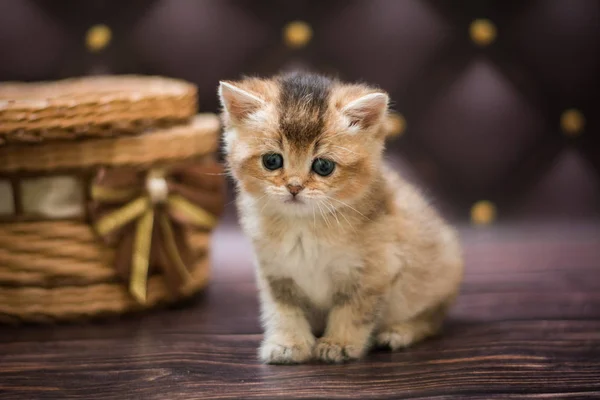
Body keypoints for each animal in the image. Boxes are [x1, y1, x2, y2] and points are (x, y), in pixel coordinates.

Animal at [218, 70, 462, 364]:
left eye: (323, 166)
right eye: (272, 161)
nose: (294, 187)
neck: (304, 227)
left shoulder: (374, 271)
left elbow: (352, 311)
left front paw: (339, 343)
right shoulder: (275, 273)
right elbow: (284, 311)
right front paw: (288, 344)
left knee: (432, 318)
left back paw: (399, 332)